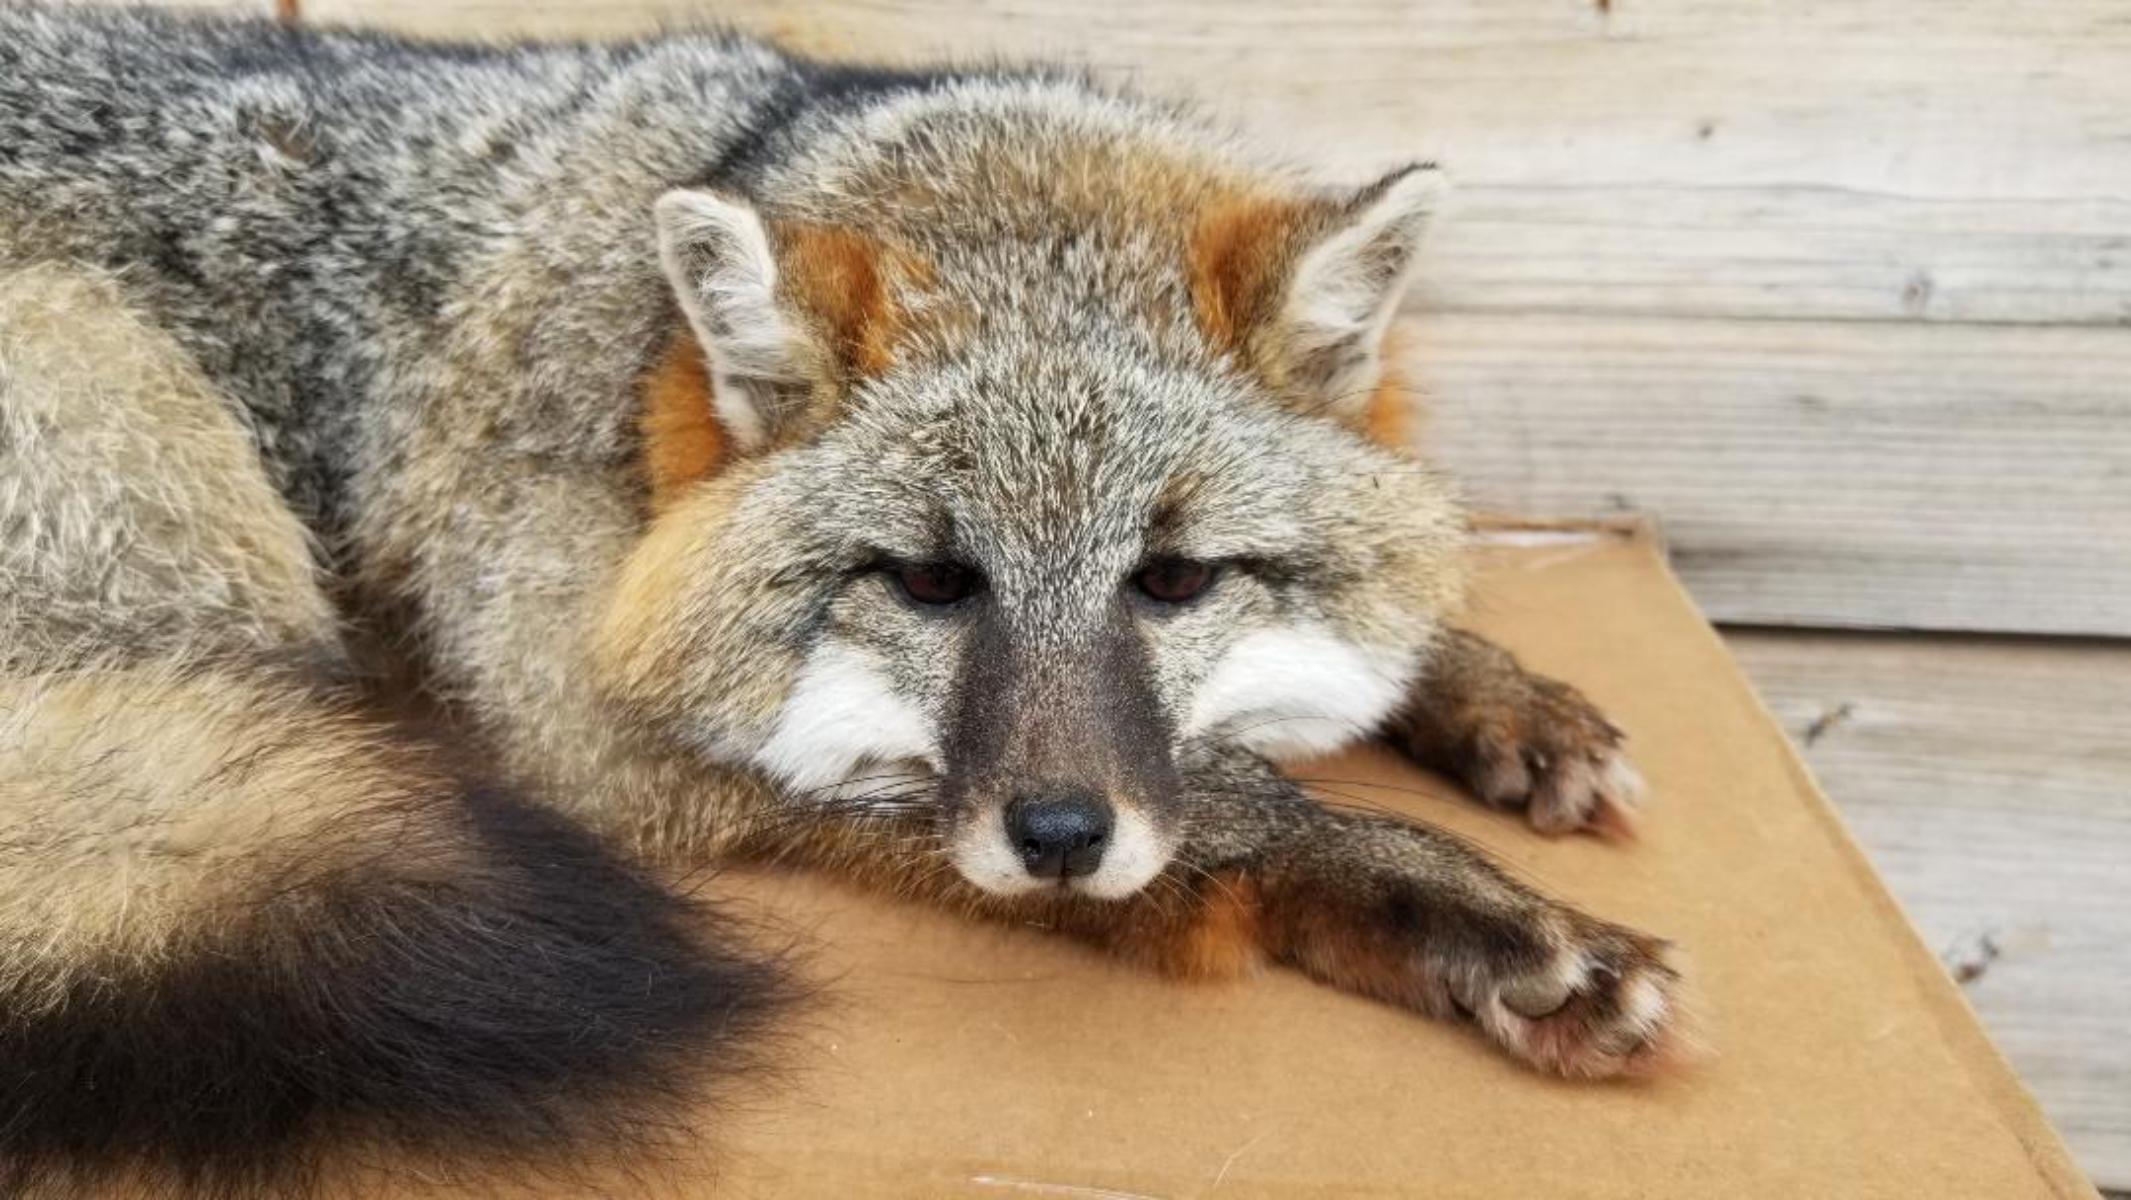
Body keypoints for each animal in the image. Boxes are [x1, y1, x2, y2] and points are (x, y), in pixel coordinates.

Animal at [4, 4, 1679, 1193]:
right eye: (929, 581)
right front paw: (1449, 906)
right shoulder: (586, 726)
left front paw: (1496, 698)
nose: (1057, 837)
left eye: (1173, 579)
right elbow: (1224, 805)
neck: (646, 362)